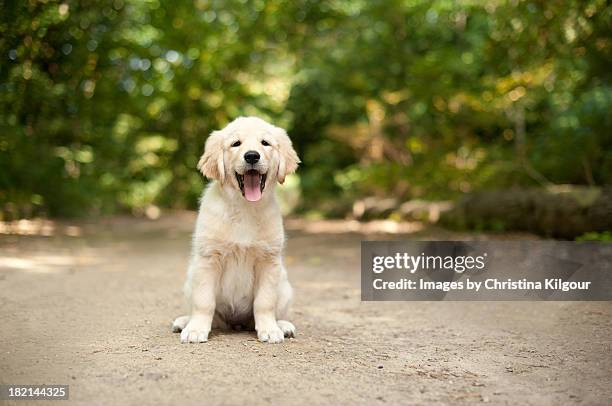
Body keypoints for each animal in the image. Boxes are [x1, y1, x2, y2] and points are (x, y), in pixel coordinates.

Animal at [171, 116, 300, 344]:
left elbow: (265, 302)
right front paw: (196, 329)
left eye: (265, 143)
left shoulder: (269, 261)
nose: (252, 156)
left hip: (284, 285)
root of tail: (235, 323)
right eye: (236, 144)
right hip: (190, 279)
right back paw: (184, 321)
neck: (244, 208)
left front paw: (270, 329)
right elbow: (204, 302)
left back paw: (283, 325)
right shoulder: (208, 259)